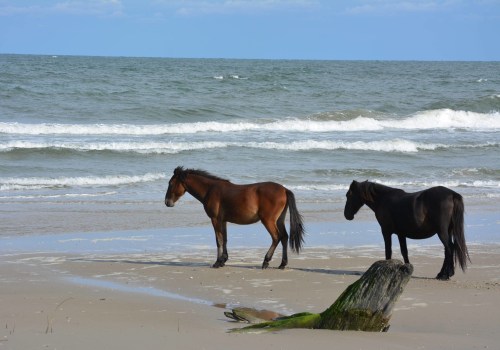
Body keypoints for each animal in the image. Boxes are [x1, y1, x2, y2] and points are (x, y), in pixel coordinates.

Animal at [164, 166, 304, 268]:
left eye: (171, 183)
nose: (167, 202)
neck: (210, 189)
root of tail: (284, 189)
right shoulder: (223, 220)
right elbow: (225, 239)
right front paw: (223, 260)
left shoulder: (215, 219)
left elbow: (218, 240)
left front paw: (217, 262)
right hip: (279, 220)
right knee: (284, 237)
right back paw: (282, 264)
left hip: (268, 220)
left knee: (276, 237)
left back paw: (266, 261)